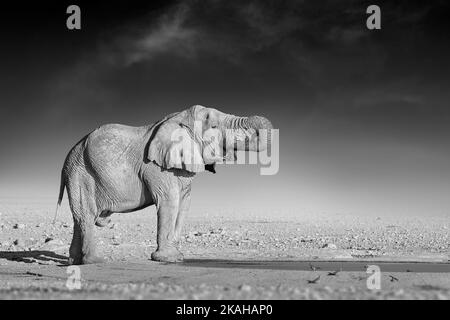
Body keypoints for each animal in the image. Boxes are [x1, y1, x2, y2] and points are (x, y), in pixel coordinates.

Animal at [55, 105, 274, 264]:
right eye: (212, 126)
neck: (179, 118)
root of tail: (67, 157)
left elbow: (184, 203)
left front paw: (177, 256)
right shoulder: (155, 167)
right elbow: (170, 201)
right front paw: (168, 258)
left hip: (77, 172)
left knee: (80, 217)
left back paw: (74, 261)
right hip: (81, 173)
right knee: (86, 215)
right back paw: (95, 261)